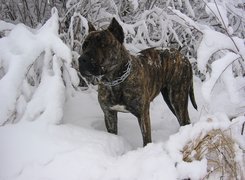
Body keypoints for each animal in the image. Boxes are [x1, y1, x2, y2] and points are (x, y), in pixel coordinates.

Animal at [78, 17, 197, 146]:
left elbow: (146, 139)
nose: (82, 59)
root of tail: (184, 57)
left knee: (185, 120)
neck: (114, 80)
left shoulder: (143, 115)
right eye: (85, 45)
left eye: (103, 45)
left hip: (177, 99)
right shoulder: (109, 114)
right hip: (170, 100)